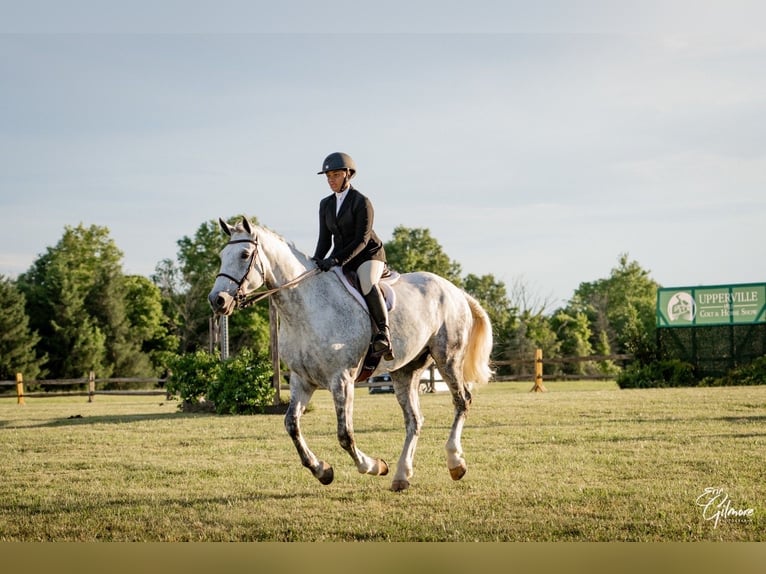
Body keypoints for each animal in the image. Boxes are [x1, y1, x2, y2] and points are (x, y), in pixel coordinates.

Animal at [208, 217, 493, 491]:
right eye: (221, 255)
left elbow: (345, 434)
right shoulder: (302, 380)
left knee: (462, 401)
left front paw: (374, 466)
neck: (306, 309)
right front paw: (322, 470)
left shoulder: (342, 379)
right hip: (405, 371)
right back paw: (402, 476)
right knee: (414, 420)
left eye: (244, 254)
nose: (217, 300)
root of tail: (456, 291)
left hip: (447, 358)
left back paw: (455, 463)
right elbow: (291, 425)